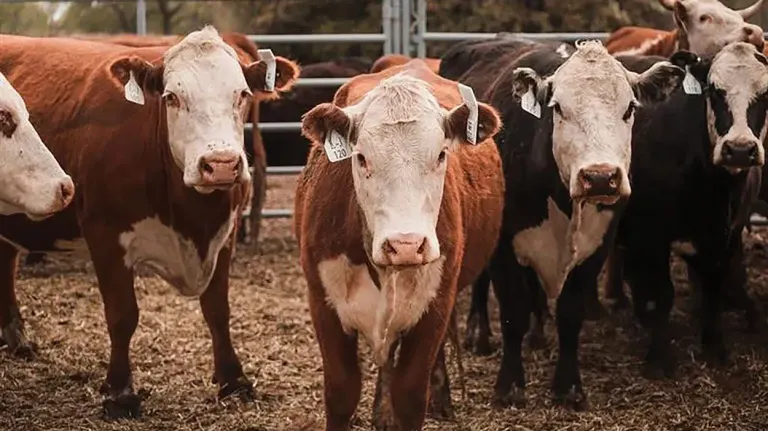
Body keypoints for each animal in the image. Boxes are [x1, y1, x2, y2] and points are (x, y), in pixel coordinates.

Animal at [0, 27, 299, 418]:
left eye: (243, 94)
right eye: (172, 97)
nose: (220, 164)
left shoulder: (226, 234)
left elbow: (218, 310)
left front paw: (234, 380)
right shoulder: (106, 235)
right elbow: (122, 315)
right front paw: (120, 392)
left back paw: (16, 338)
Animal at [295, 59, 504, 430]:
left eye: (441, 154)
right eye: (361, 157)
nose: (406, 244)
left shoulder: (435, 305)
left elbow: (410, 393)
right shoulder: (322, 301)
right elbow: (341, 391)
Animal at [439, 37, 686, 409]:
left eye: (630, 108)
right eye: (558, 108)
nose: (600, 177)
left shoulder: (596, 246)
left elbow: (570, 313)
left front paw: (568, 388)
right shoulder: (504, 246)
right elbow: (512, 312)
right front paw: (509, 386)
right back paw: (479, 332)